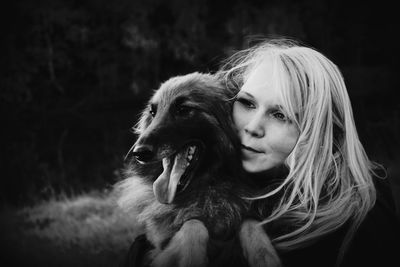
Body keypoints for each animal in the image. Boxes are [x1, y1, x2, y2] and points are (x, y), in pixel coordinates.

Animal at [114, 72, 280, 266]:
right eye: (153, 112)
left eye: (183, 109)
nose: (139, 153)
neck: (208, 188)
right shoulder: (157, 247)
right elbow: (194, 225)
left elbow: (250, 223)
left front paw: (265, 256)